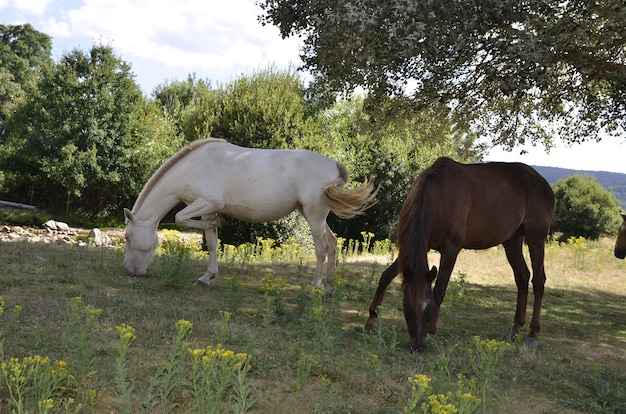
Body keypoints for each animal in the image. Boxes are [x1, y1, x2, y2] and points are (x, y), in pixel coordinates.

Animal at [122, 139, 376, 292]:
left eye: (126, 237)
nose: (130, 271)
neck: (193, 167)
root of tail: (334, 165)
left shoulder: (207, 204)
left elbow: (180, 219)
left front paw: (221, 223)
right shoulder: (206, 210)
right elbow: (211, 242)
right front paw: (207, 277)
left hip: (314, 215)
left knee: (321, 248)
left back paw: (314, 286)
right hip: (313, 214)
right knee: (332, 243)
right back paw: (329, 287)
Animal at [364, 157, 552, 350]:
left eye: (429, 306)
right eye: (405, 304)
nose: (418, 346)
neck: (440, 194)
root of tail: (542, 183)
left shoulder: (451, 249)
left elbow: (439, 289)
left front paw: (431, 329)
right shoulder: (422, 247)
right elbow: (386, 276)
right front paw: (372, 319)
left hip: (536, 238)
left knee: (538, 281)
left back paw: (532, 335)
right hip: (512, 241)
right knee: (522, 277)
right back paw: (514, 329)